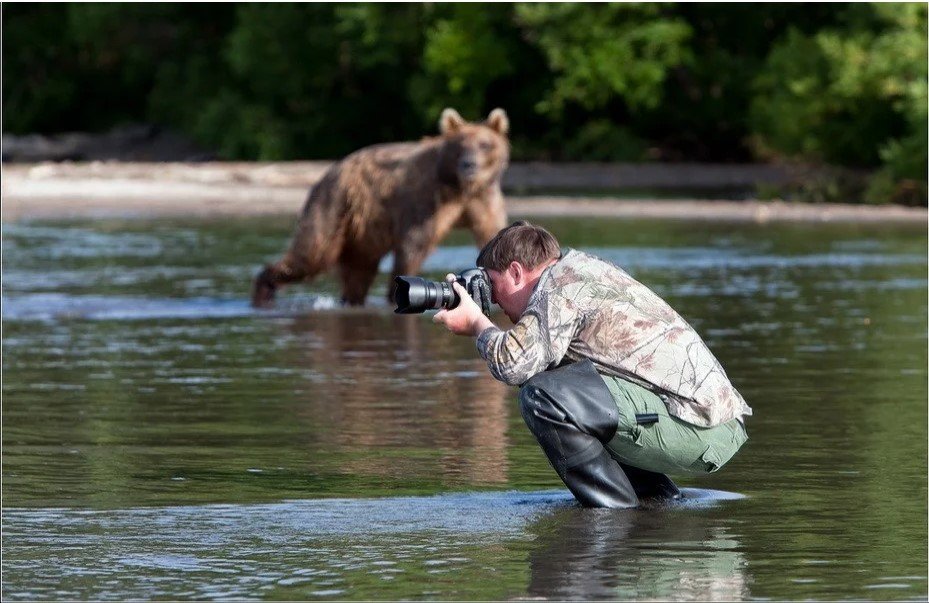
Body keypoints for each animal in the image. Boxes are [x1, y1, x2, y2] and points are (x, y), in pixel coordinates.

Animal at [252, 107, 508, 306]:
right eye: (460, 145)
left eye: (485, 144)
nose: (469, 165)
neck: (460, 187)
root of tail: (329, 172)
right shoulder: (426, 200)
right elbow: (413, 245)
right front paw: (396, 292)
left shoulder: (483, 200)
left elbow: (491, 232)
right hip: (333, 207)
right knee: (312, 255)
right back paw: (263, 291)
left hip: (362, 230)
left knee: (358, 272)